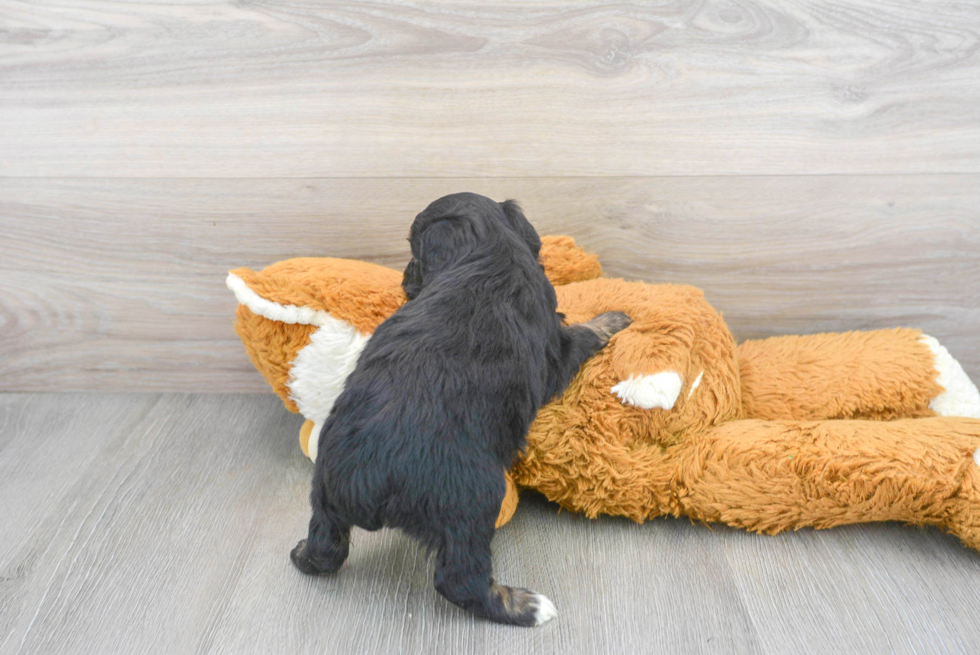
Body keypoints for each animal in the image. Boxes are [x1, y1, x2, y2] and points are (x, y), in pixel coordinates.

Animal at [288, 192, 632, 628]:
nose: (404, 279)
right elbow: (586, 331)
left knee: (327, 547)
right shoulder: (556, 349)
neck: (489, 251)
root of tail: (365, 481)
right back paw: (525, 606)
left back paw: (303, 552)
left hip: (324, 494)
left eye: (414, 254)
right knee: (459, 580)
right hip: (473, 499)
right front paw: (614, 318)